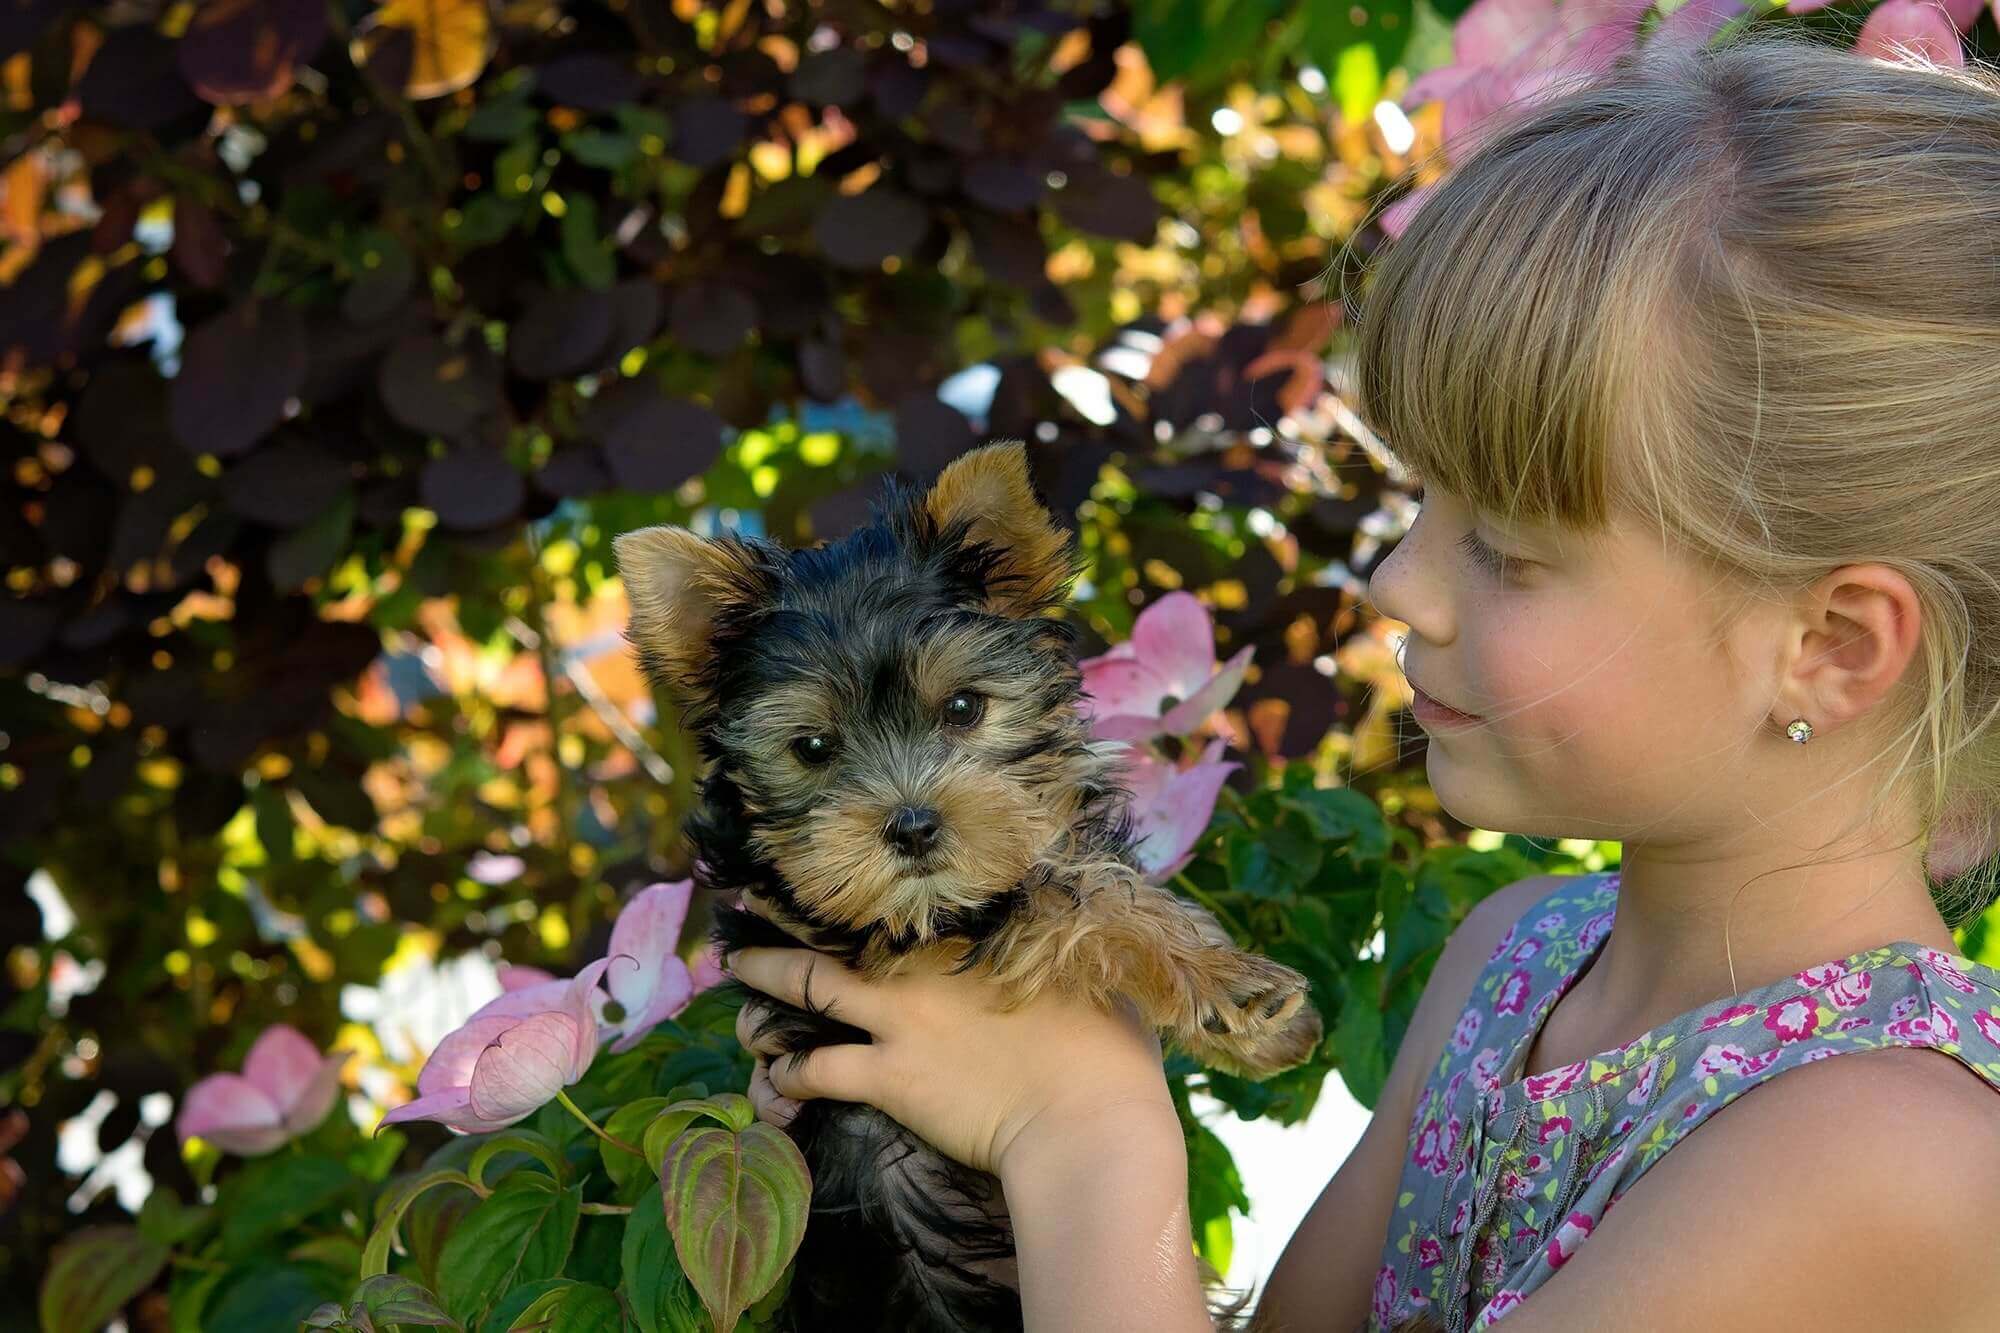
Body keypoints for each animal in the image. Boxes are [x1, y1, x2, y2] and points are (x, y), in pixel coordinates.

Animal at [616, 440, 1320, 1320]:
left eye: (962, 707)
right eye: (811, 747)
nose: (914, 825)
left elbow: (1080, 873)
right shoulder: (866, 927)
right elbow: (1066, 899)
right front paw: (1237, 992)